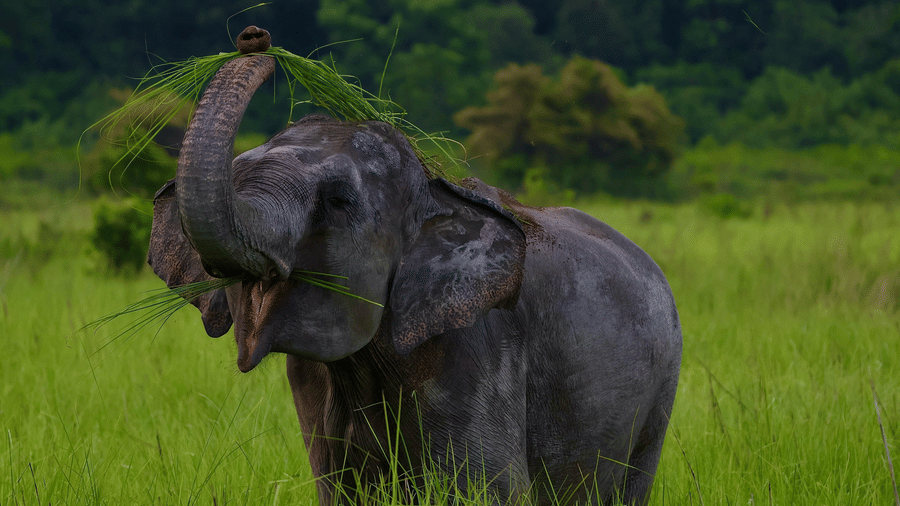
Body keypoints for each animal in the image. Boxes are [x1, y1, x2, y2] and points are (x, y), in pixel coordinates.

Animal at [147, 26, 681, 506]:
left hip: (660, 393)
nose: (254, 38)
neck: (434, 191)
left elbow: (488, 490)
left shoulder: (479, 347)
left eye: (338, 201)